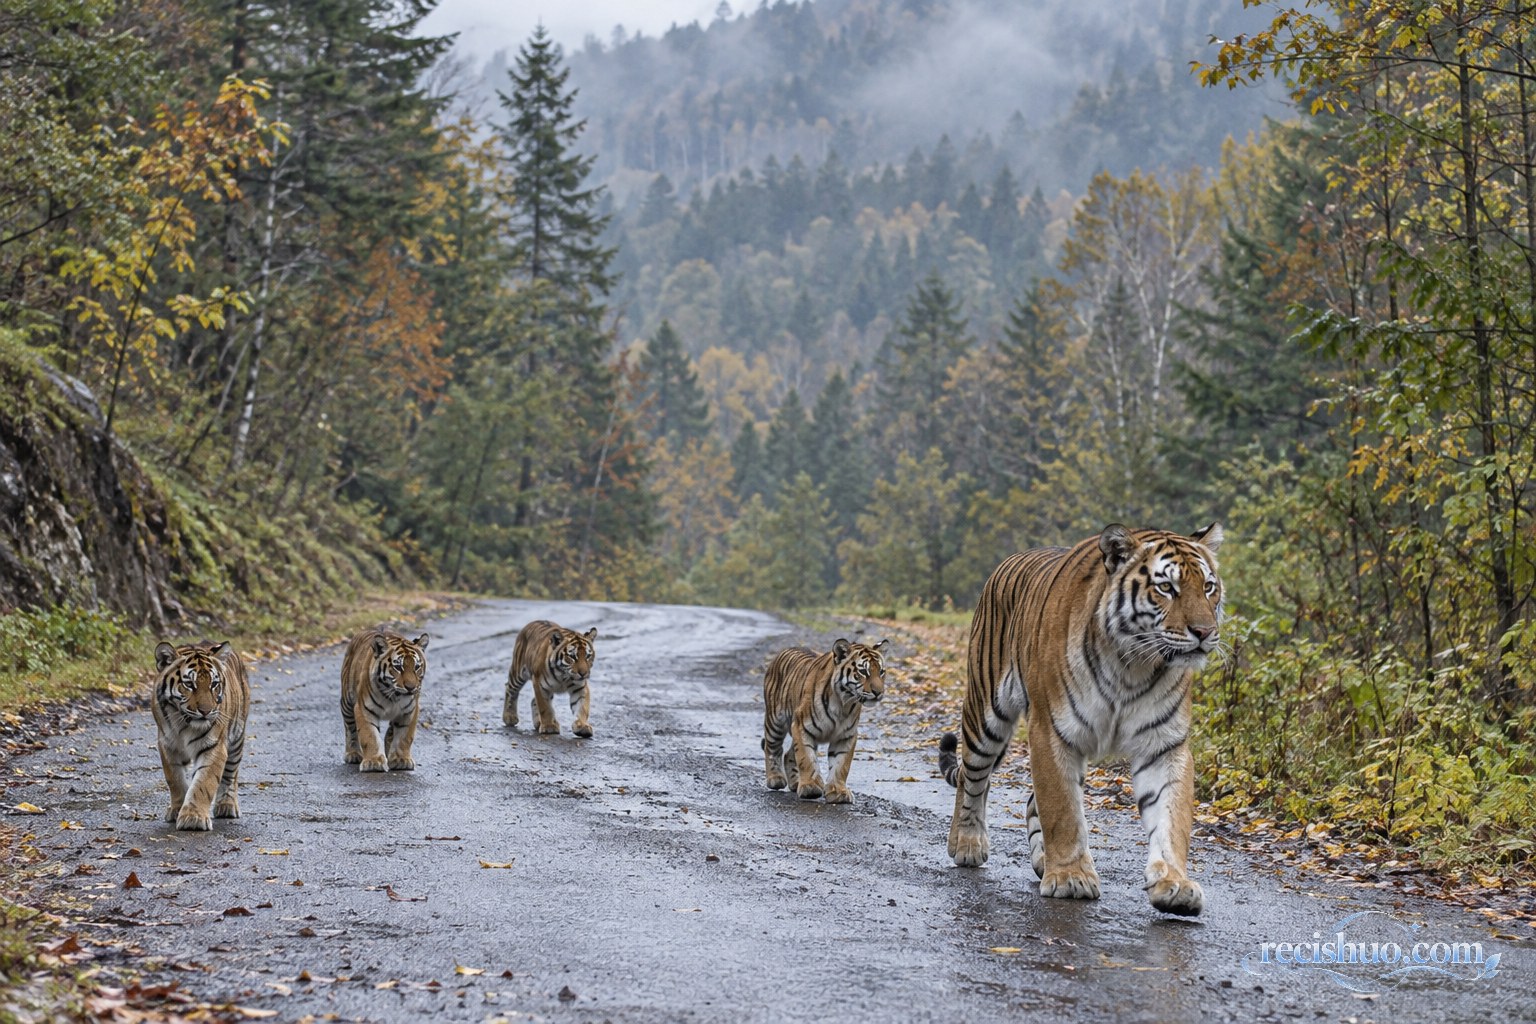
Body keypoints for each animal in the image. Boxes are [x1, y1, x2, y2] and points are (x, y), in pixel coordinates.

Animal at [152, 640, 251, 831]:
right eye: (189, 684)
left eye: (214, 684)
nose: (206, 711)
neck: (184, 724)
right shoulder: (167, 745)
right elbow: (175, 779)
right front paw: (177, 809)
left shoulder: (214, 747)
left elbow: (204, 783)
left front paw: (193, 818)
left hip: (237, 738)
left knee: (231, 774)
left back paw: (227, 805)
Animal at [340, 629, 430, 772]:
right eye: (398, 667)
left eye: (416, 667)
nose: (411, 687)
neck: (394, 696)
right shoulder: (364, 709)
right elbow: (369, 736)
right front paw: (373, 762)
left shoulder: (410, 711)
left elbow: (404, 737)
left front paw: (401, 759)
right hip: (347, 702)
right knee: (350, 728)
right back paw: (353, 754)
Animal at [761, 638, 888, 804]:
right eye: (863, 672)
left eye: (881, 671)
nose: (879, 692)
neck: (843, 703)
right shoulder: (801, 727)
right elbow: (806, 758)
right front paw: (810, 787)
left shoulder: (846, 735)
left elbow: (841, 765)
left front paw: (838, 792)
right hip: (775, 722)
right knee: (772, 748)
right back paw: (775, 778)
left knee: (788, 754)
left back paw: (796, 783)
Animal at [938, 523, 1224, 917]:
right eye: (1167, 587)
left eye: (1208, 586)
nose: (1204, 632)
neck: (1133, 664)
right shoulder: (1052, 731)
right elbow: (1063, 810)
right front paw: (1071, 878)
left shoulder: (1164, 744)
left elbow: (1171, 817)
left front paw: (1175, 884)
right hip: (986, 711)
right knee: (972, 775)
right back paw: (967, 844)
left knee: (1030, 798)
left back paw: (1042, 860)